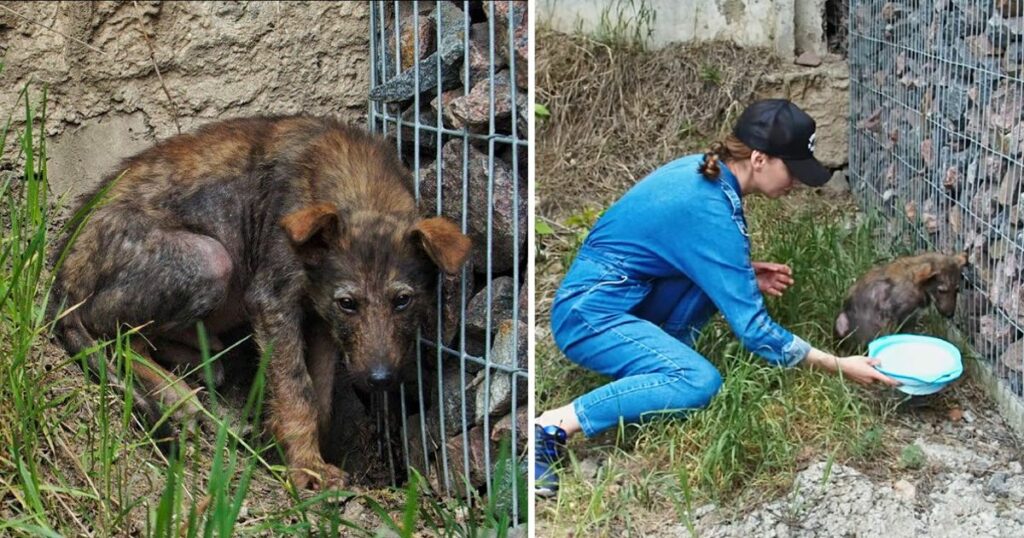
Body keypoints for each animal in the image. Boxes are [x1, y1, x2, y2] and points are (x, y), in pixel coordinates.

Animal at [831, 253, 966, 348]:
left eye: (957, 290)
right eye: (941, 291)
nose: (950, 315)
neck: (917, 285)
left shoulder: (911, 317)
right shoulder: (902, 316)